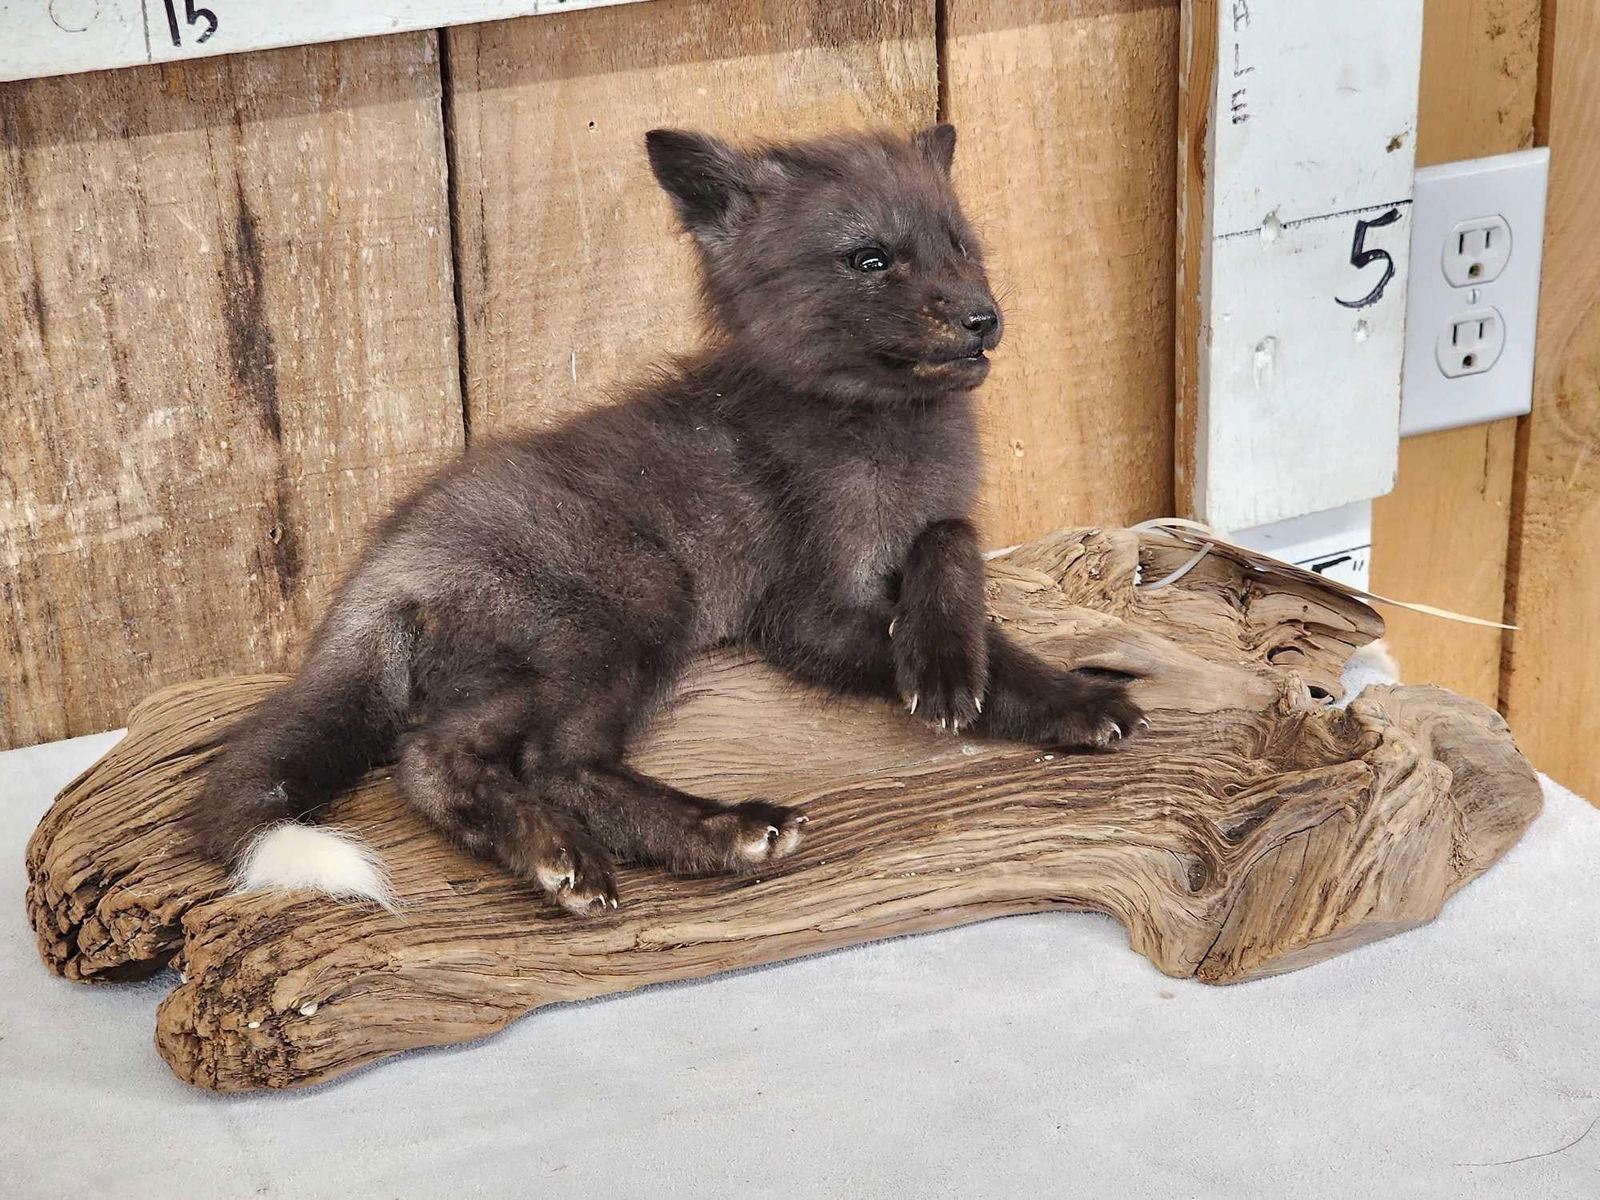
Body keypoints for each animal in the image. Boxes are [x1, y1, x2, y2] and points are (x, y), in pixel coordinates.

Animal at [188, 124, 1145, 915]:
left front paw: (1028, 681)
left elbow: (959, 545)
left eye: (961, 247)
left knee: (430, 759)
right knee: (544, 762)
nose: (987, 320)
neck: (882, 433)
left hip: (529, 666)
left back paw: (555, 853)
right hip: (640, 606)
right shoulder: (805, 614)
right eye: (871, 259)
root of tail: (380, 564)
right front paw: (972, 675)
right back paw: (708, 835)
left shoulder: (921, 533)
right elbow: (943, 611)